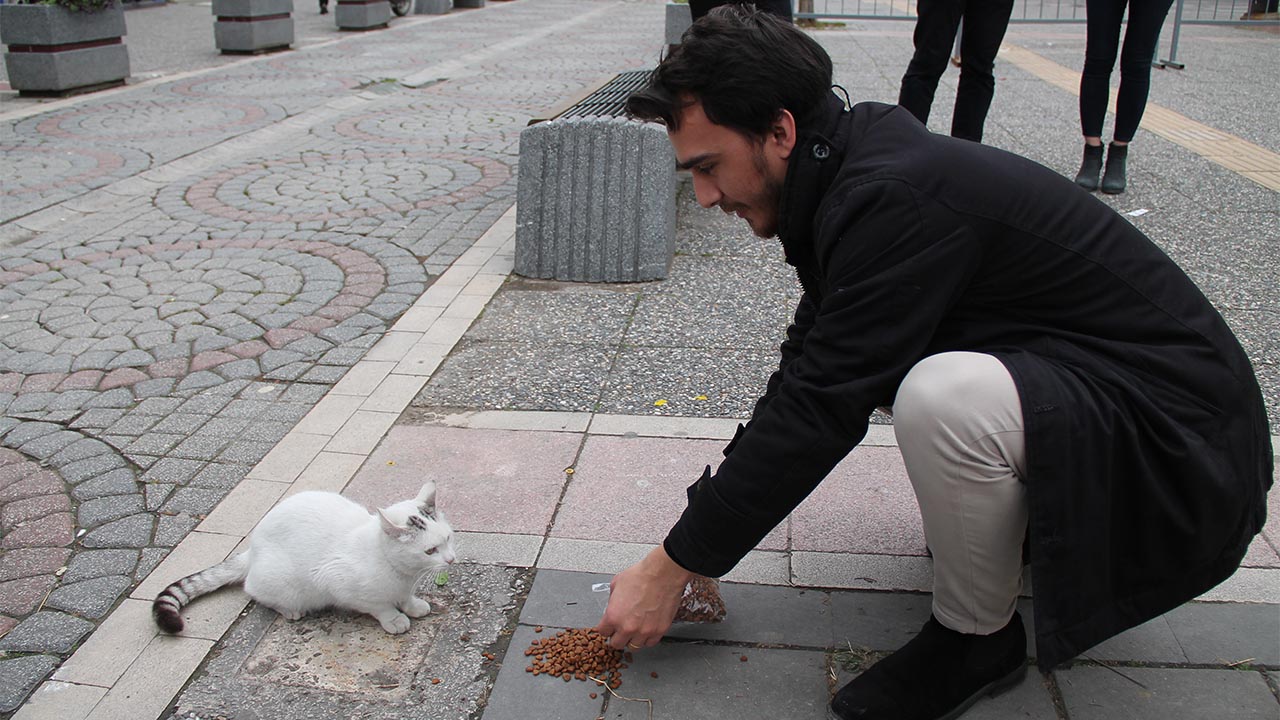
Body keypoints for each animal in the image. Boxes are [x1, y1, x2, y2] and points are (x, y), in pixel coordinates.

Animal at [152, 481, 458, 632]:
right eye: (430, 550)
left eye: (448, 538)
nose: (451, 560)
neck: (402, 573)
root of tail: (252, 549)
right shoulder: (339, 583)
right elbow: (378, 606)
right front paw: (394, 619)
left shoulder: (404, 587)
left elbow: (404, 599)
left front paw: (412, 606)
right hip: (283, 582)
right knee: (253, 590)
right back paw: (290, 610)